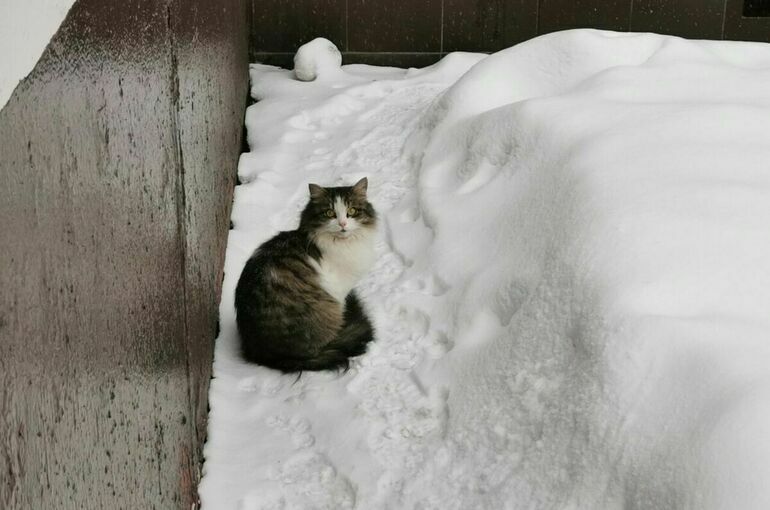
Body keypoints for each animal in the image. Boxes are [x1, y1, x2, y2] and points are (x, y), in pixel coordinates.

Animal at [236, 177, 376, 372]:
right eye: (330, 213)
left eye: (352, 211)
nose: (342, 224)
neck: (343, 244)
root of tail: (271, 356)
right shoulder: (339, 291)